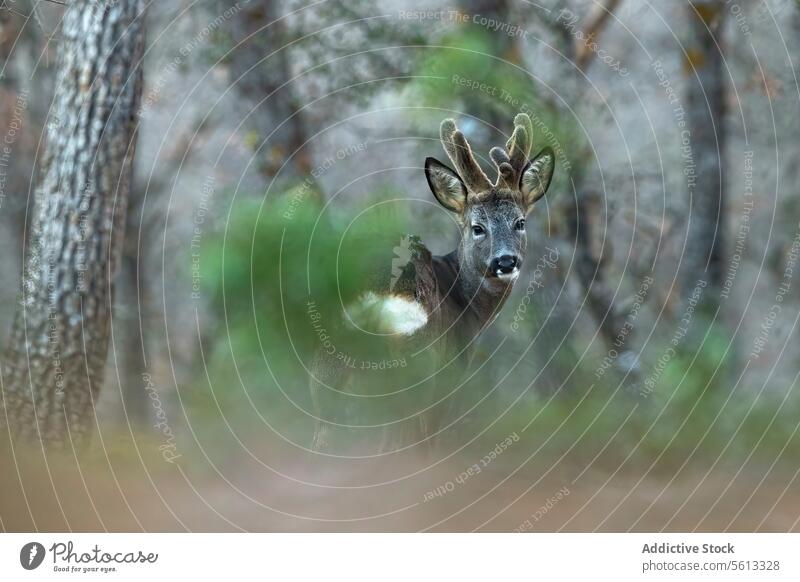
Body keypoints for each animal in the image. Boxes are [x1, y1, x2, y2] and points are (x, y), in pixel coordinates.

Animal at [310, 113, 552, 452]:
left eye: (520, 222)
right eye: (477, 227)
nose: (505, 261)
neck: (465, 303)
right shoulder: (449, 374)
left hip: (325, 375)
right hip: (416, 366)